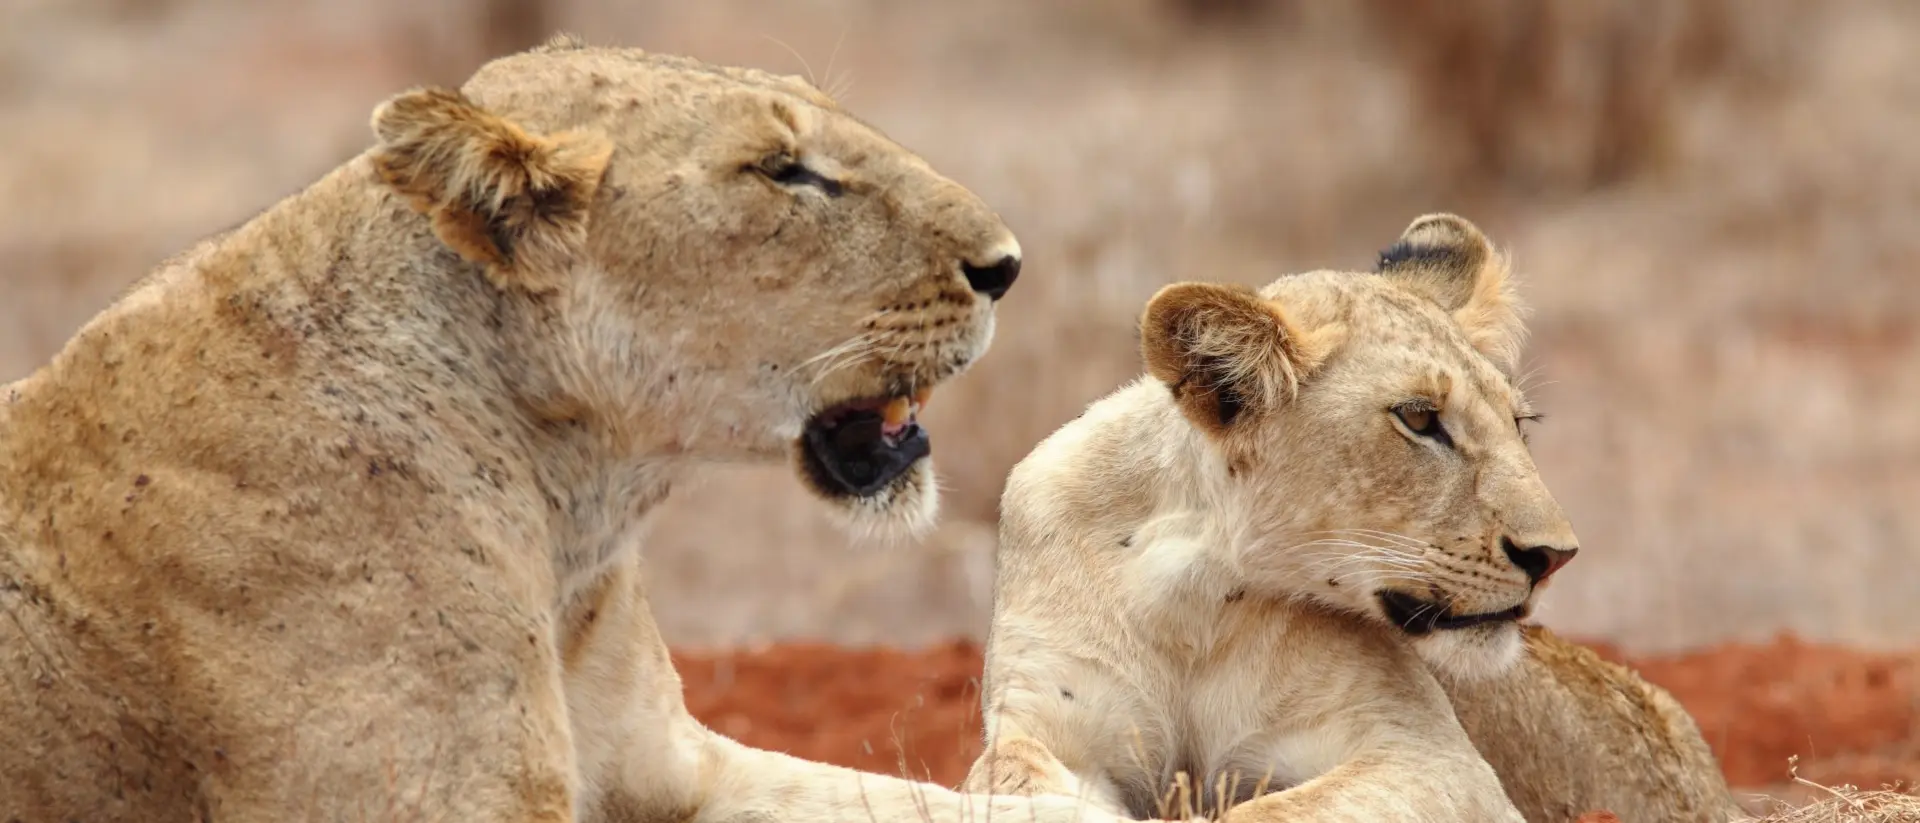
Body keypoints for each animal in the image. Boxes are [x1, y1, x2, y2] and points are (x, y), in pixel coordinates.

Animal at [962, 214, 1747, 823]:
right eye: (1420, 419)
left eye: (1520, 423)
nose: (1554, 555)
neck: (1191, 598)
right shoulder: (1046, 724)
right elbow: (1007, 778)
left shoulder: (1429, 757)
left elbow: (1266, 811)